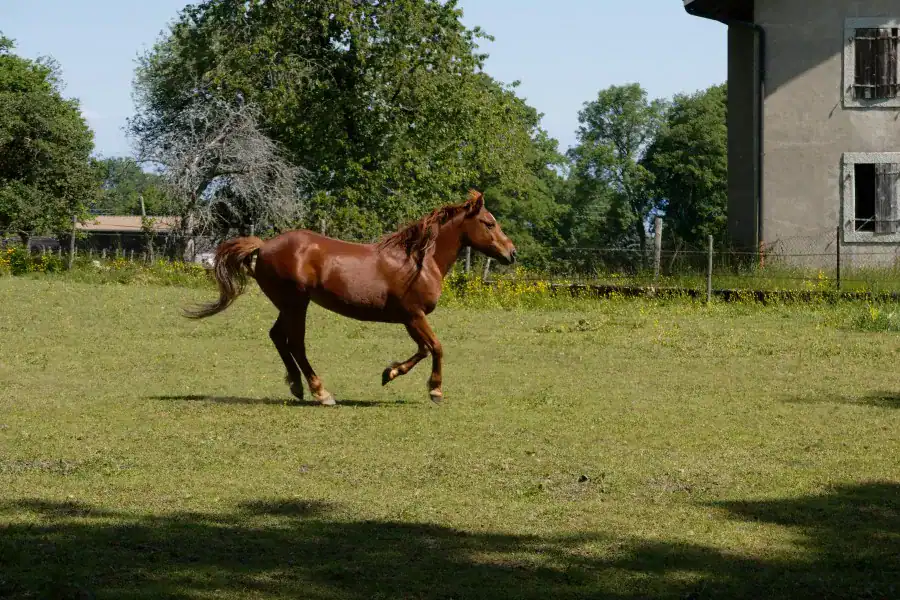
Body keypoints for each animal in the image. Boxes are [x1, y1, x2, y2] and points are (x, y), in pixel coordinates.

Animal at [183, 189, 517, 406]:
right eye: (489, 223)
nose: (511, 253)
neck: (420, 262)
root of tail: (263, 246)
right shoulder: (413, 315)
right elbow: (436, 347)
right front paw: (435, 391)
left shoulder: (408, 319)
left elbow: (423, 349)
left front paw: (389, 373)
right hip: (297, 303)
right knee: (295, 343)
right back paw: (320, 393)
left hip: (288, 305)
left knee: (278, 337)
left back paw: (297, 386)